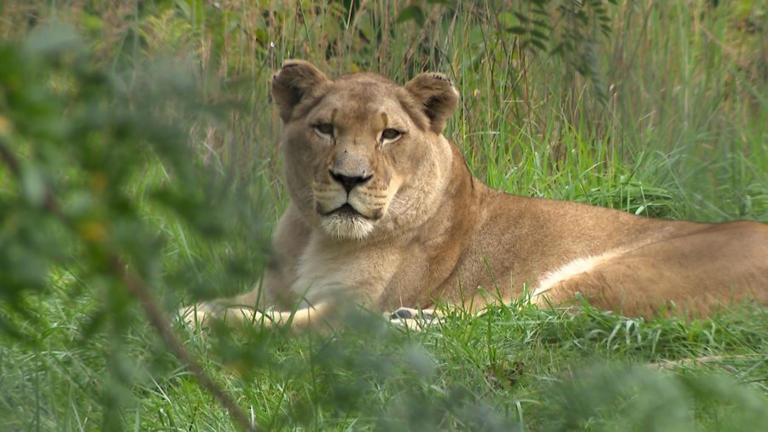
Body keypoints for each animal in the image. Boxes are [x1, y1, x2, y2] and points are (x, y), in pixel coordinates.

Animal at [181, 60, 768, 329]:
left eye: (389, 134)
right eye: (325, 128)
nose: (350, 178)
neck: (319, 237)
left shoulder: (348, 309)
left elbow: (263, 322)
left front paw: (195, 319)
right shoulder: (273, 287)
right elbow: (237, 301)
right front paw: (190, 306)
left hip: (624, 272)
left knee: (521, 316)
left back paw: (406, 322)